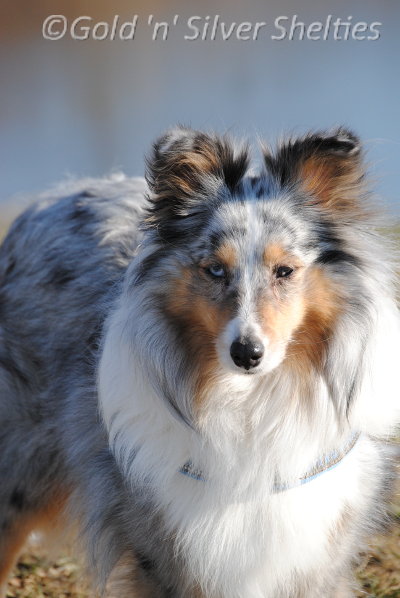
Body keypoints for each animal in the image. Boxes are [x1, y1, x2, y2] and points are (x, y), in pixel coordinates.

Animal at [0, 124, 398, 596]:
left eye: (284, 271)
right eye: (215, 270)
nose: (247, 354)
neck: (250, 405)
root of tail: (48, 199)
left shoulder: (314, 557)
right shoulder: (164, 555)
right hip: (20, 472)